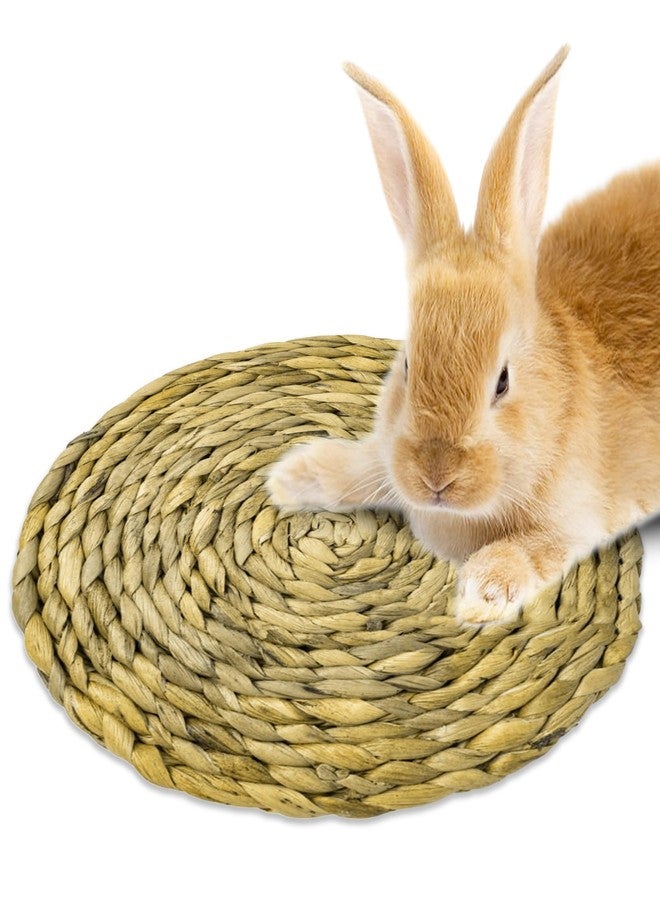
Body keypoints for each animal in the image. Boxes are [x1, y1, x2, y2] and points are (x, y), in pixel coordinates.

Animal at [266, 46, 660, 625]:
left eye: (502, 381)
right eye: (407, 366)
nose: (437, 477)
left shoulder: (573, 520)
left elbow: (532, 549)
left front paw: (480, 594)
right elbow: (367, 464)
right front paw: (295, 477)